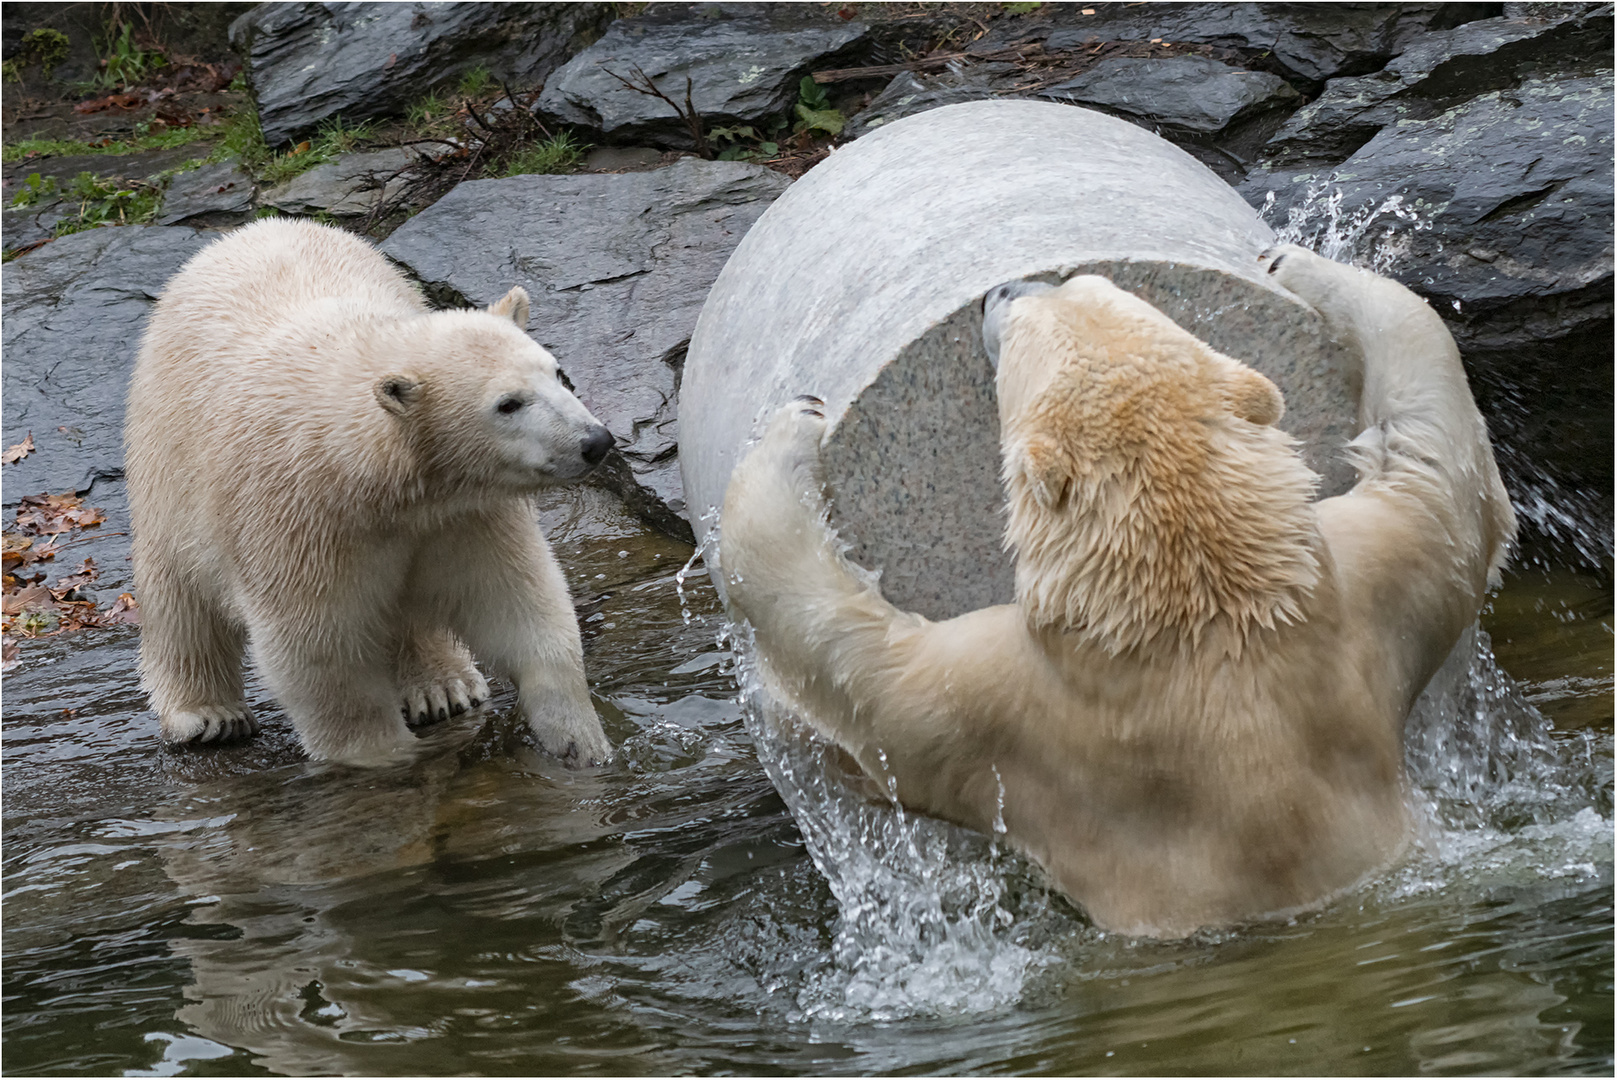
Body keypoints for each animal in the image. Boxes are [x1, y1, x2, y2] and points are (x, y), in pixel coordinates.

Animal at [126, 216, 614, 766]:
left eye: (558, 373)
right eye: (508, 403)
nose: (596, 442)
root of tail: (245, 231)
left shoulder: (462, 513)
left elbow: (516, 602)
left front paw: (580, 740)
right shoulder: (294, 520)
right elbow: (320, 652)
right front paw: (386, 757)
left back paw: (443, 686)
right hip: (166, 460)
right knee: (178, 596)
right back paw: (207, 716)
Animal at [721, 244, 1513, 937]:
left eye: (1027, 319)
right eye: (1083, 283)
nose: (1007, 286)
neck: (1200, 616)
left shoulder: (1005, 708)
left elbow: (860, 678)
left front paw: (794, 424)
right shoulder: (1369, 584)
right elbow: (1439, 465)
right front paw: (1292, 261)